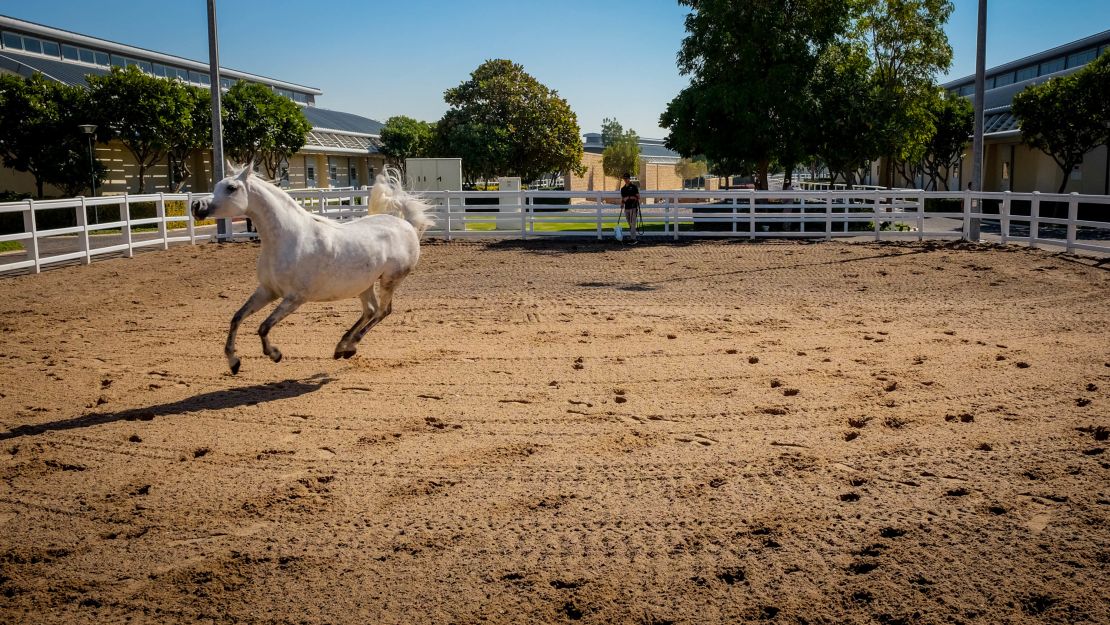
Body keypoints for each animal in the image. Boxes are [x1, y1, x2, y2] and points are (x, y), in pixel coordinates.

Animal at [190, 164, 432, 375]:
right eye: (217, 184)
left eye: (231, 188)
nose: (196, 206)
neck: (288, 238)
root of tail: (408, 225)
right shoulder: (267, 291)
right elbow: (237, 318)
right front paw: (233, 362)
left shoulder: (295, 298)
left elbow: (264, 327)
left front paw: (274, 354)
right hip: (364, 284)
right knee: (371, 311)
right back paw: (342, 347)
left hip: (390, 280)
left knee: (383, 311)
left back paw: (349, 346)